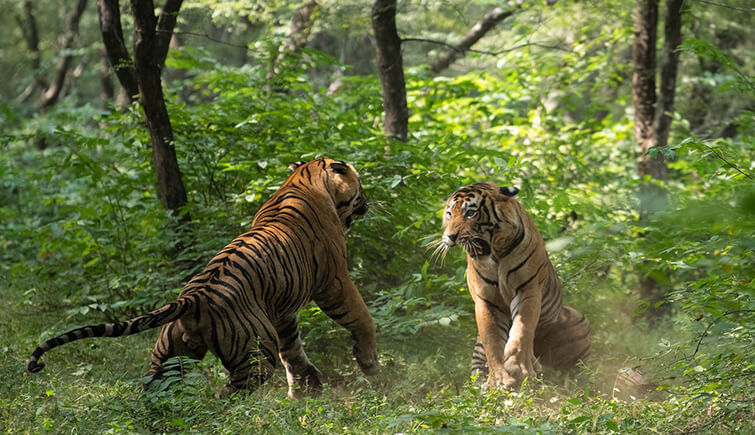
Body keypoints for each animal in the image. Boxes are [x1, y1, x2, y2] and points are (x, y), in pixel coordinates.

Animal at [26, 159, 380, 398]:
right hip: (254, 354)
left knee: (153, 388)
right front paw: (369, 364)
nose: (367, 202)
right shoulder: (334, 281)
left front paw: (307, 389)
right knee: (227, 397)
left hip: (170, 354)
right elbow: (362, 317)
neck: (303, 178)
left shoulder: (281, 308)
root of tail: (192, 298)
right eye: (360, 186)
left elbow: (292, 350)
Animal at [440, 182, 592, 390]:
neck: (495, 254)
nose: (450, 236)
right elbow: (493, 339)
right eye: (449, 214)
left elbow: (522, 330)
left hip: (578, 322)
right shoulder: (486, 300)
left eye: (470, 213)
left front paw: (519, 368)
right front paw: (499, 379)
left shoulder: (528, 289)